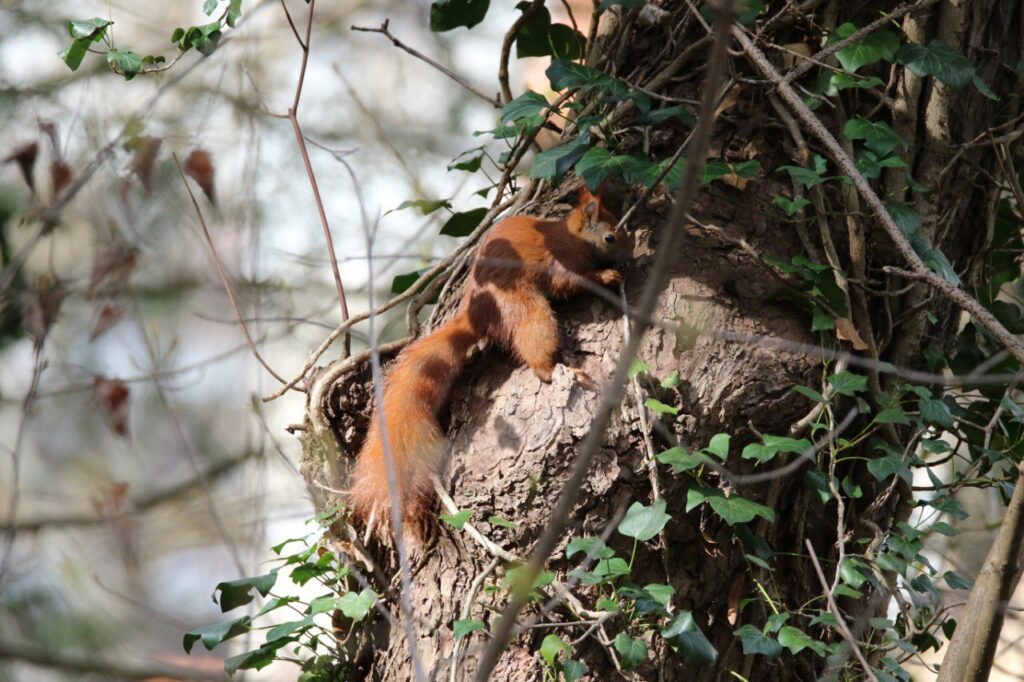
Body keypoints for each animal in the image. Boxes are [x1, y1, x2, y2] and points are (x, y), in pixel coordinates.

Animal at [349, 182, 632, 542]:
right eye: (610, 237)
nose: (630, 254)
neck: (572, 237)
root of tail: (476, 312)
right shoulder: (560, 263)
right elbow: (571, 282)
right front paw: (606, 275)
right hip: (525, 308)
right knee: (536, 348)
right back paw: (560, 370)